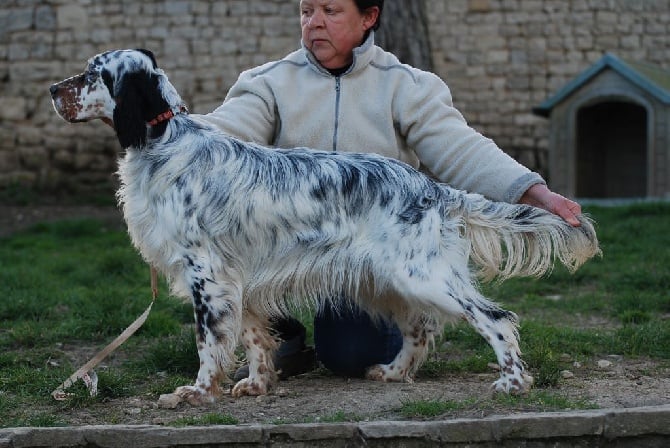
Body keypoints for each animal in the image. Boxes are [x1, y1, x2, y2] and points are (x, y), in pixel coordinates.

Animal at [48, 50, 604, 406]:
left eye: (93, 74)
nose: (53, 89)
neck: (164, 143)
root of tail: (434, 189)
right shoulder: (237, 278)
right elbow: (254, 337)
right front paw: (258, 384)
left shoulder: (206, 272)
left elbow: (209, 342)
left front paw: (196, 393)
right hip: (390, 281)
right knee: (420, 328)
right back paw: (393, 373)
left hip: (423, 276)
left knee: (496, 319)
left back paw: (512, 384)